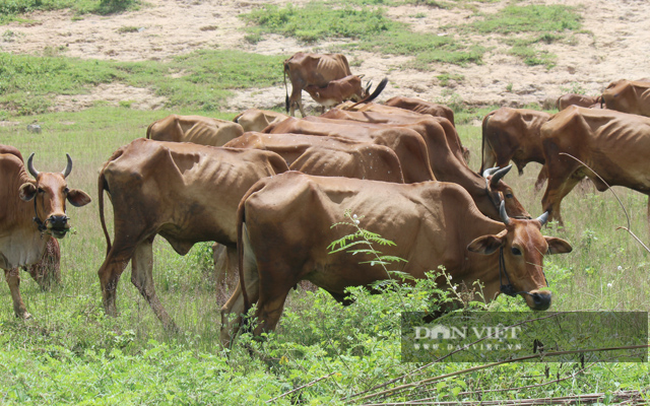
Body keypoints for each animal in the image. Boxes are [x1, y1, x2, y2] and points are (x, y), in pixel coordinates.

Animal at [97, 138, 288, 332]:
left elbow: (233, 285)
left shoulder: (233, 246)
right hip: (130, 232)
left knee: (142, 281)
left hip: (144, 236)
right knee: (109, 275)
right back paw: (114, 326)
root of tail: (125, 150)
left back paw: (172, 327)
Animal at [220, 171, 568, 342]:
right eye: (515, 248)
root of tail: (264, 183)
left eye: (544, 250)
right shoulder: (420, 292)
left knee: (229, 315)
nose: (543, 297)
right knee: (259, 331)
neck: (458, 227)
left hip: (252, 275)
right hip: (276, 283)